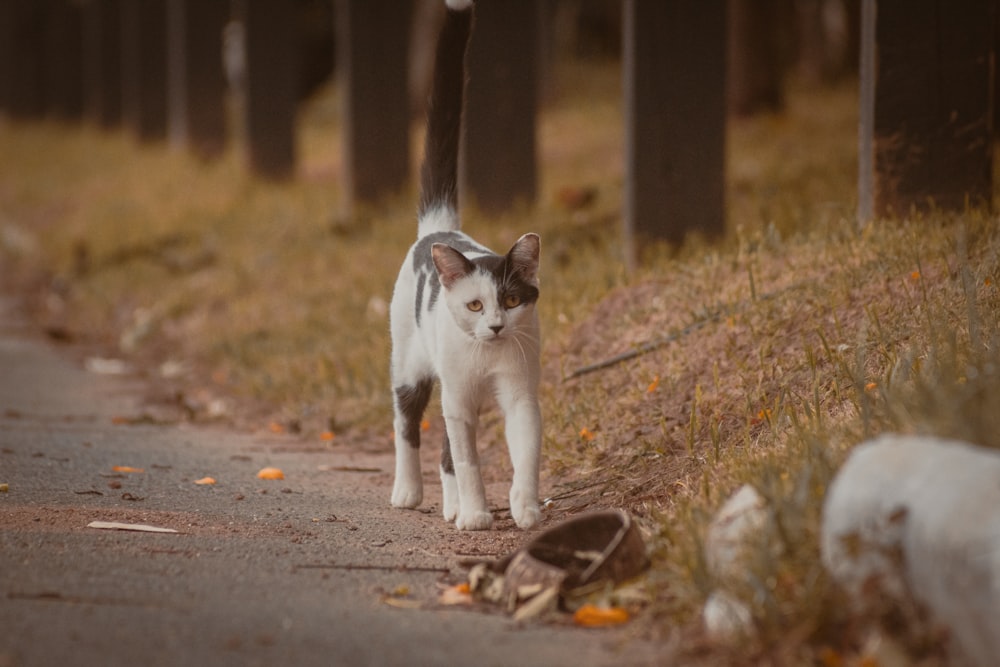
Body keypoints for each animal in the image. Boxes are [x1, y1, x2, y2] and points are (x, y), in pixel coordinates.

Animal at [390, 0, 548, 532]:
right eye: (476, 305)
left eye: (513, 300)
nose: (497, 327)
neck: (487, 357)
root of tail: (437, 229)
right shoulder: (458, 402)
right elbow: (469, 459)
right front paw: (479, 514)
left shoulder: (520, 396)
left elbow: (525, 454)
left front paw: (524, 507)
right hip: (411, 365)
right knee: (406, 423)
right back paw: (409, 492)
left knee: (442, 451)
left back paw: (451, 504)